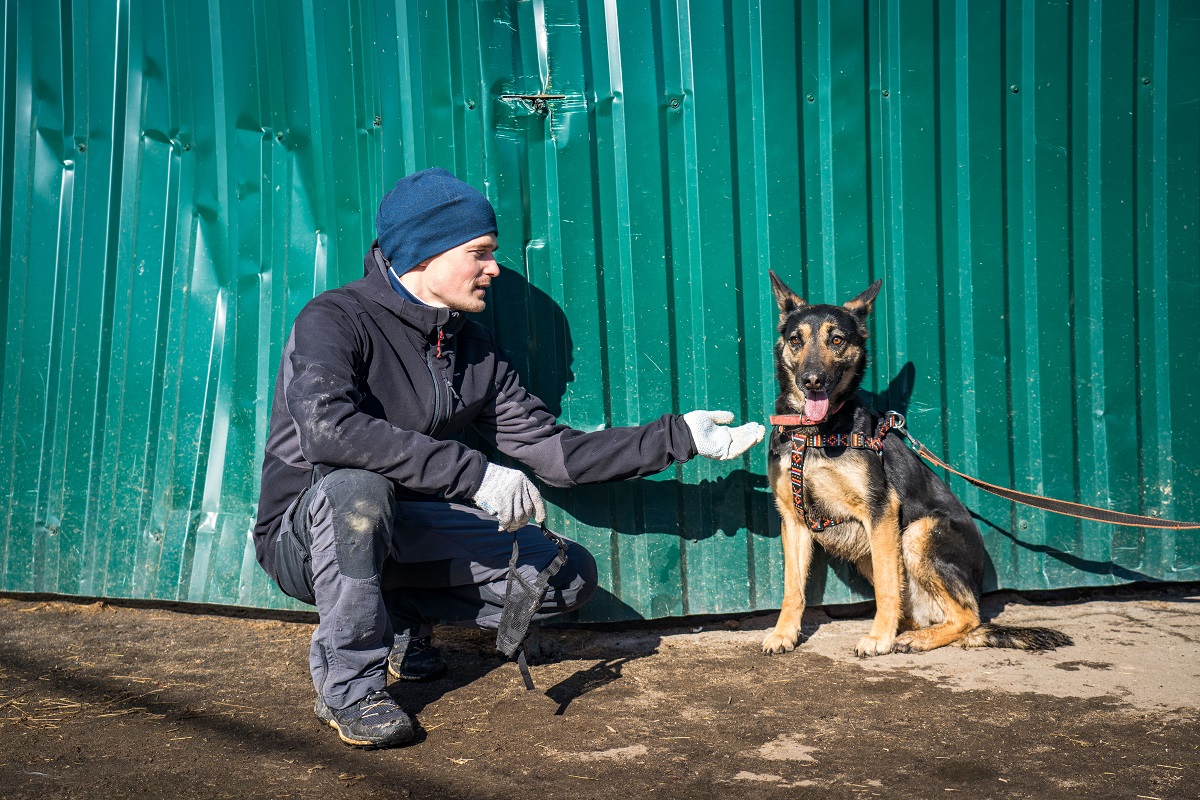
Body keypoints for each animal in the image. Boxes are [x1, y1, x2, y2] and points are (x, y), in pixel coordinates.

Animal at [758, 272, 1070, 662]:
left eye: (837, 339)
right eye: (796, 340)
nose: (811, 380)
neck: (814, 432)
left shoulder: (880, 511)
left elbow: (886, 588)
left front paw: (878, 638)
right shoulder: (794, 520)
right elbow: (792, 590)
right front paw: (783, 633)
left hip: (917, 533)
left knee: (968, 616)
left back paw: (915, 638)